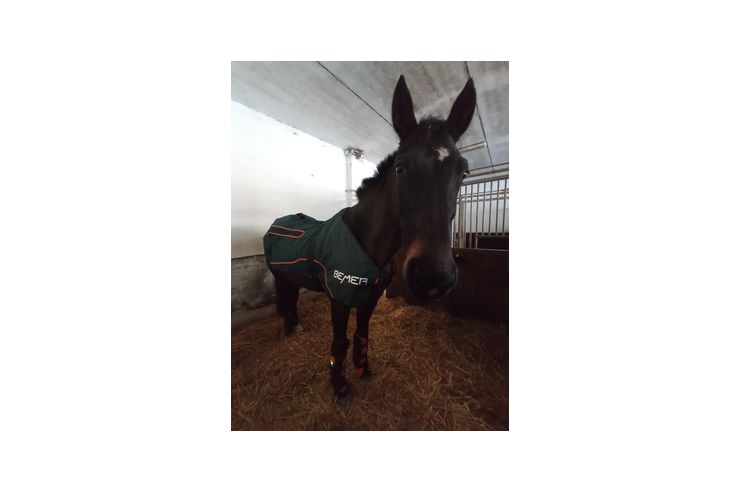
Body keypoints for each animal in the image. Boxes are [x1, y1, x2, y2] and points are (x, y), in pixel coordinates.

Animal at [264, 75, 476, 397]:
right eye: (400, 167)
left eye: (463, 172)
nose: (433, 277)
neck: (366, 241)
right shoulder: (339, 300)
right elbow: (340, 341)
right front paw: (339, 386)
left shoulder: (370, 298)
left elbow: (362, 333)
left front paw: (363, 369)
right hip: (279, 276)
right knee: (285, 298)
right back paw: (289, 329)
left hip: (290, 277)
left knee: (290, 298)